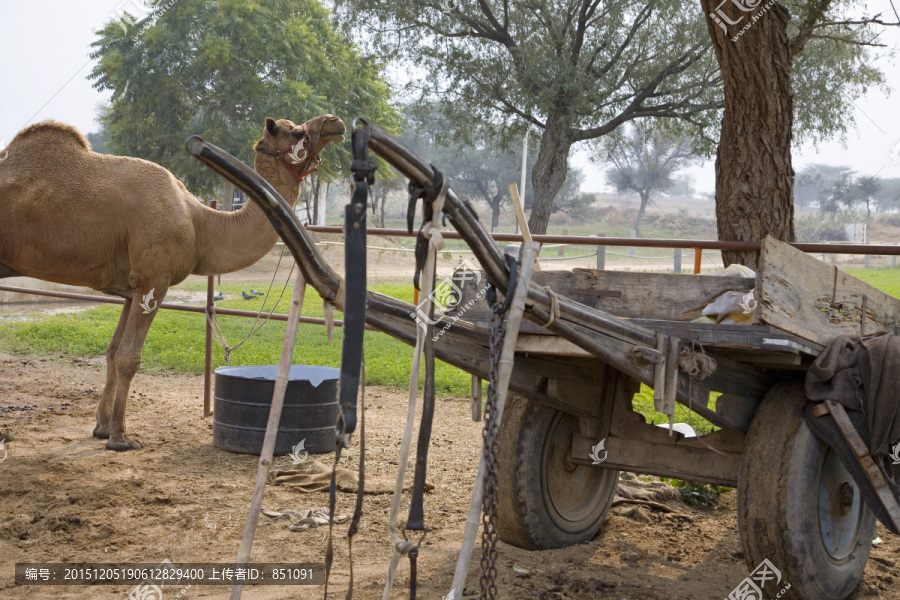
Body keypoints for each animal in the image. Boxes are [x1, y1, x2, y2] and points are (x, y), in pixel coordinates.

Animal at [0, 113, 344, 450]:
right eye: (296, 131)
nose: (335, 122)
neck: (199, 221)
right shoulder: (154, 278)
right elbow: (129, 357)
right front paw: (120, 437)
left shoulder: (131, 286)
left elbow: (112, 352)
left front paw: (102, 427)